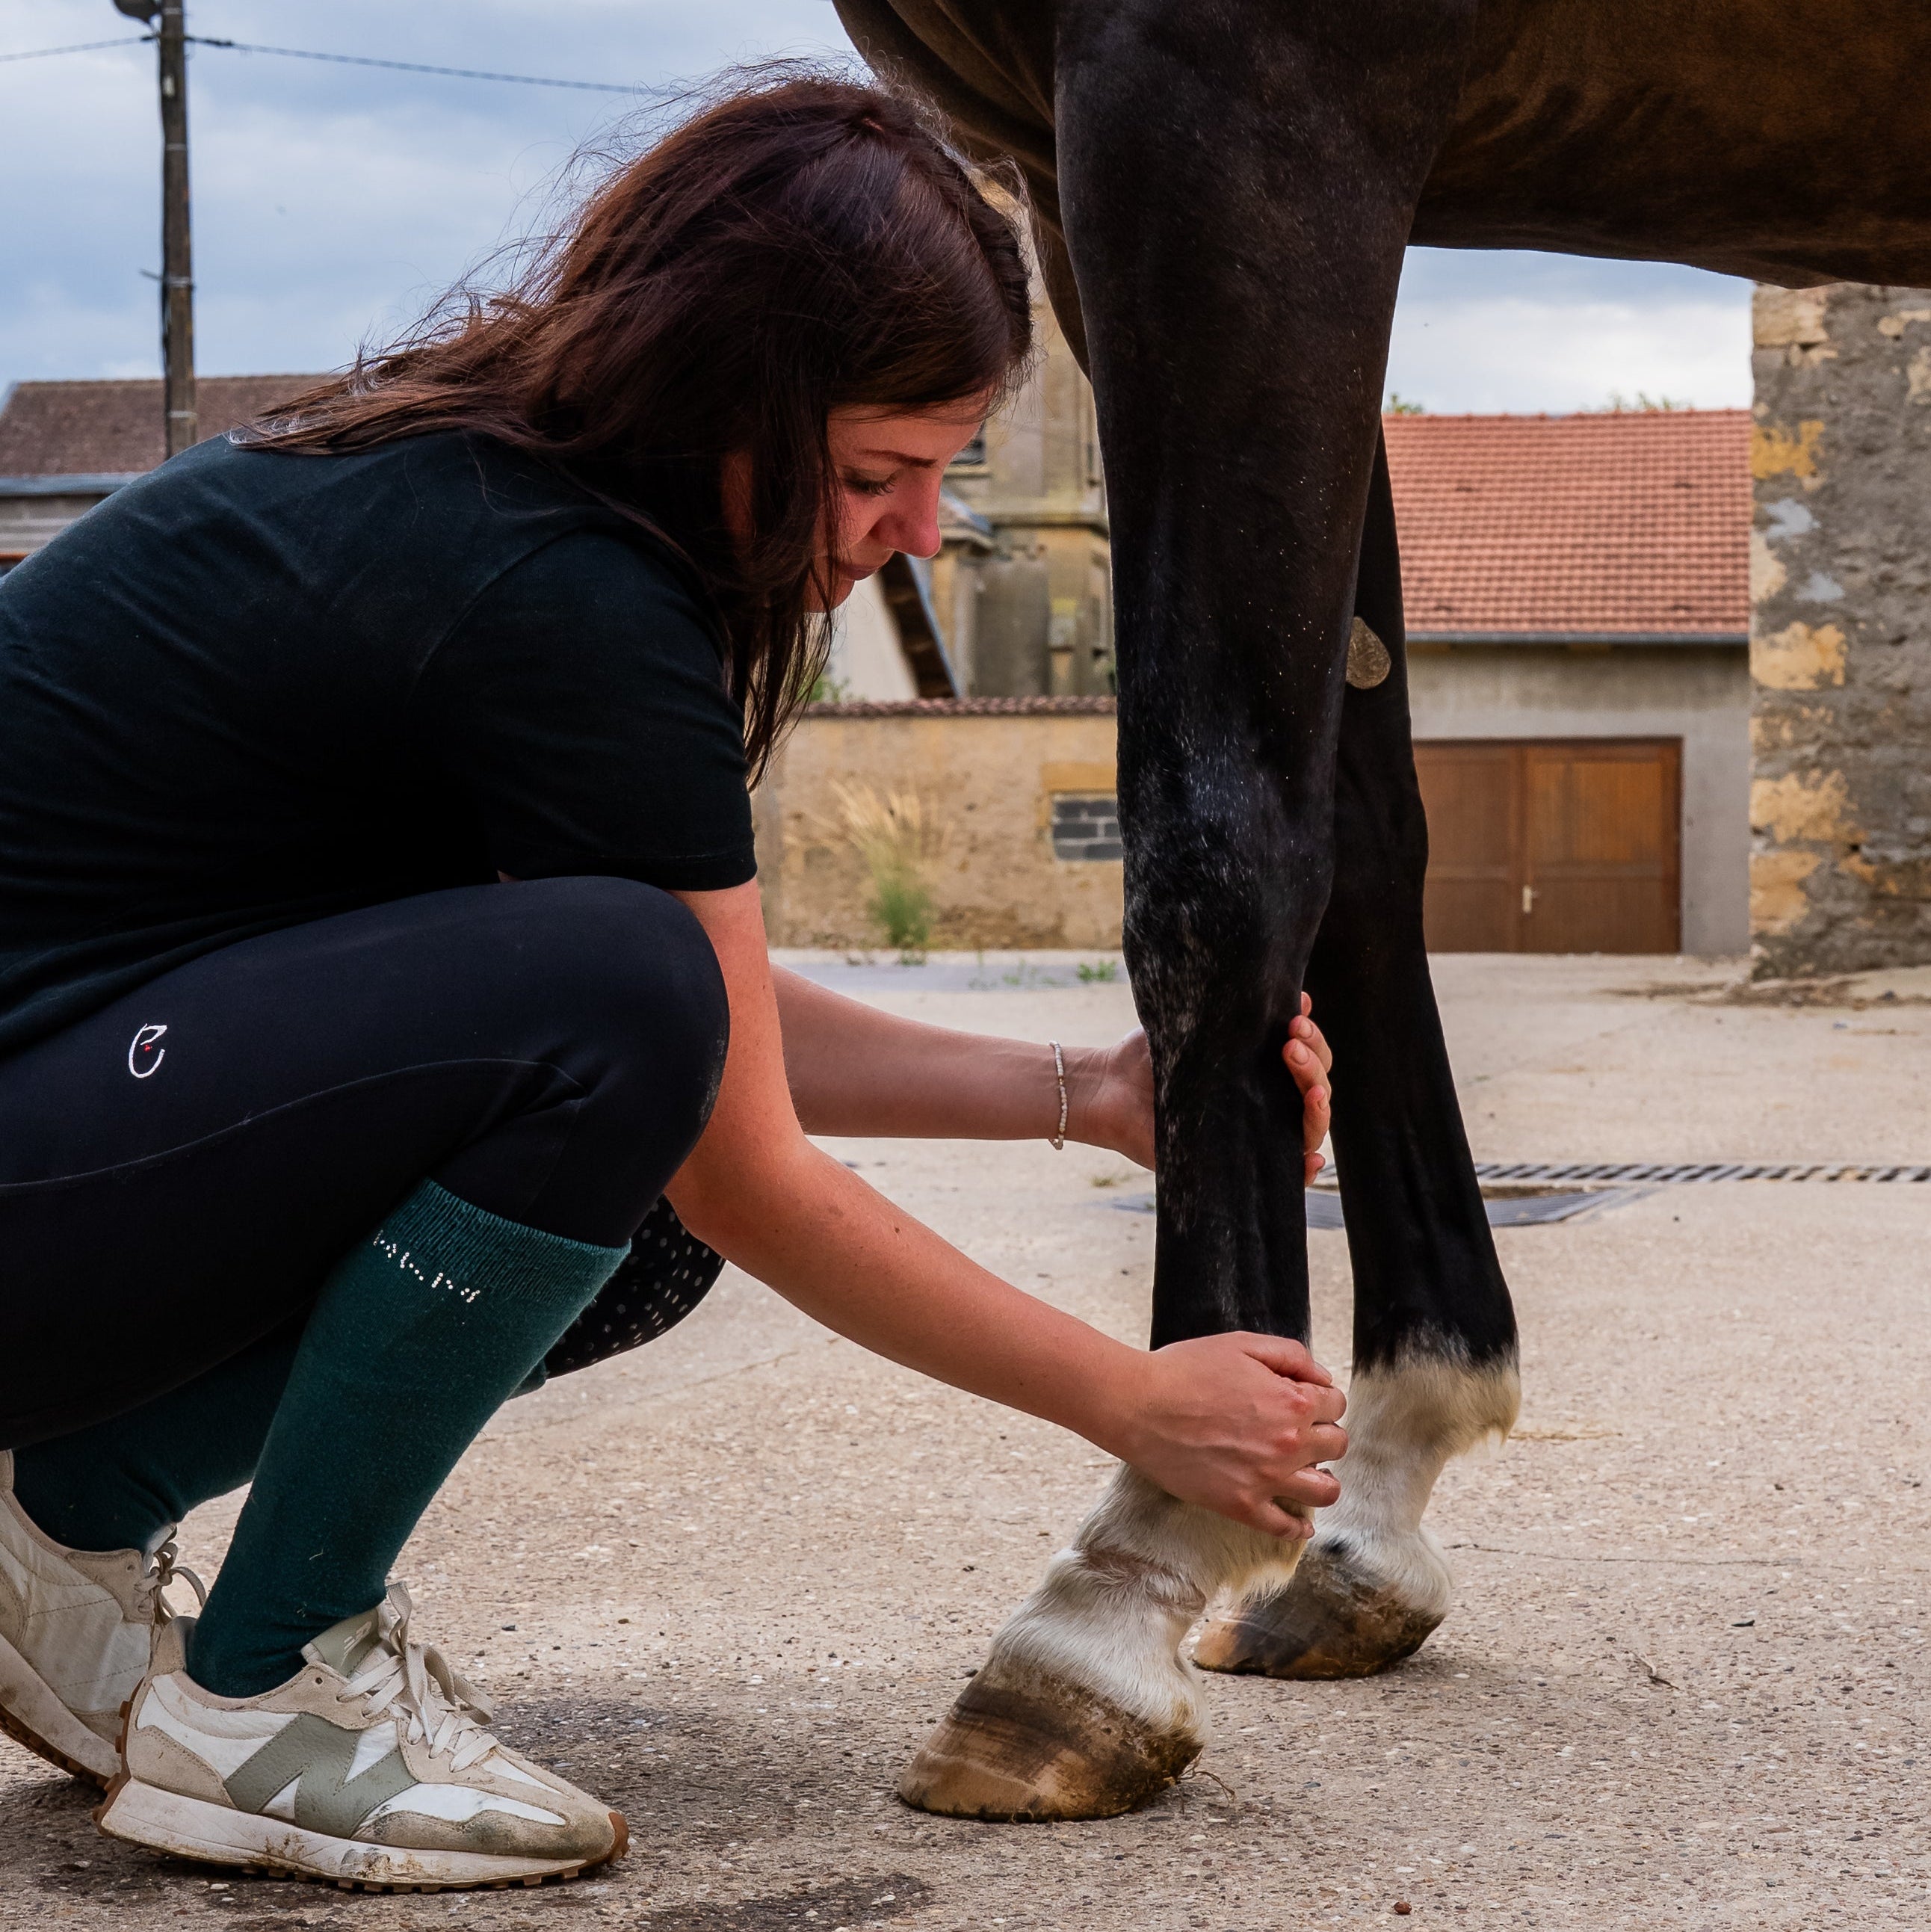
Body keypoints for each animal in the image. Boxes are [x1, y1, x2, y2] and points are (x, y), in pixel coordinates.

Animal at [823, 0, 1931, 1821]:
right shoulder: (1085, 177)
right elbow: (1354, 824)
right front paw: (1367, 1491)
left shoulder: (1236, 99)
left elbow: (1216, 832)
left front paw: (1133, 1563)